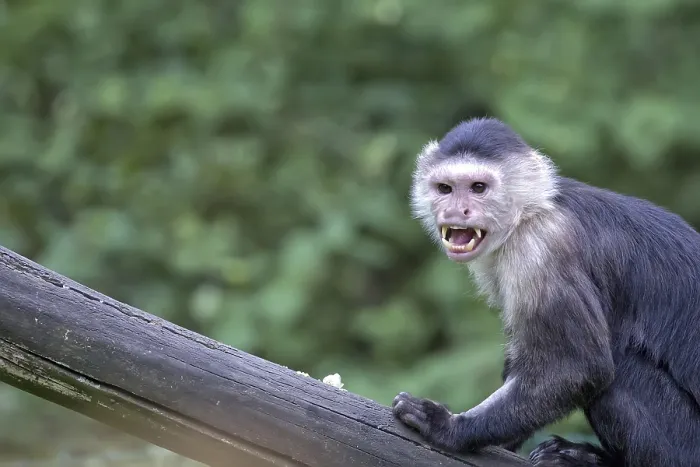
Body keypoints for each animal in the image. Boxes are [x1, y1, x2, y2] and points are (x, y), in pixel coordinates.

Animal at [391, 117, 700, 466]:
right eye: (445, 189)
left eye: (478, 188)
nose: (457, 210)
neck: (531, 211)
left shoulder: (541, 245)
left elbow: (578, 368)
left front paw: (449, 428)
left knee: (620, 372)